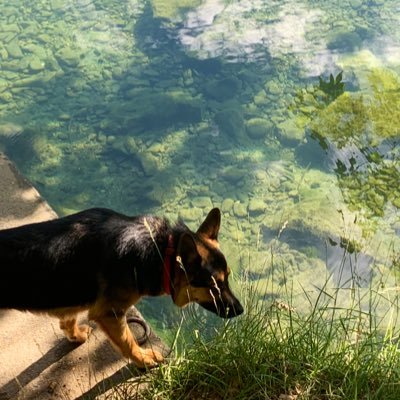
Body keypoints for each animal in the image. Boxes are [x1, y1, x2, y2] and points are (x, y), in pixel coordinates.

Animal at [0, 209, 244, 368]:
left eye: (228, 278)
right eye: (213, 285)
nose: (241, 310)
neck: (160, 249)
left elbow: (68, 318)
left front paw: (75, 335)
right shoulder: (111, 314)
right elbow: (129, 342)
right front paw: (144, 360)